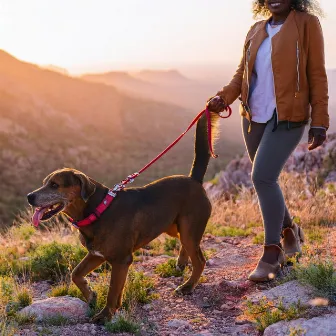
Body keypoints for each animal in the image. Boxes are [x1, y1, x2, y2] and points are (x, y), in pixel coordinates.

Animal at [26, 113, 220, 322]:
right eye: (44, 183)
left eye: (55, 185)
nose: (29, 197)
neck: (98, 210)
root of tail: (194, 180)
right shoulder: (97, 254)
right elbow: (76, 274)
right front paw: (91, 294)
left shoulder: (121, 260)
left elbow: (112, 291)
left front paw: (105, 315)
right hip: (175, 227)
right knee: (187, 246)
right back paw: (182, 262)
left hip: (190, 229)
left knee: (199, 260)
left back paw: (188, 286)